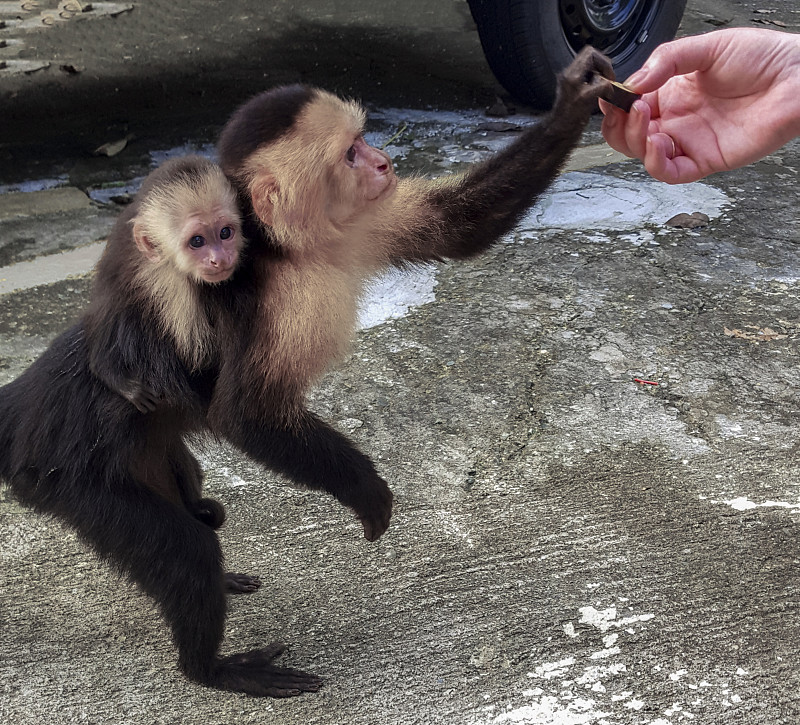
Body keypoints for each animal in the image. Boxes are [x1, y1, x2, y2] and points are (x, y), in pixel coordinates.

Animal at [1, 157, 324, 696]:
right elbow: (235, 414)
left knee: (177, 471)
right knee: (188, 549)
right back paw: (208, 669)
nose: (220, 257)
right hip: (63, 484)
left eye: (227, 232)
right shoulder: (171, 306)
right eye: (198, 241)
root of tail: (20, 408)